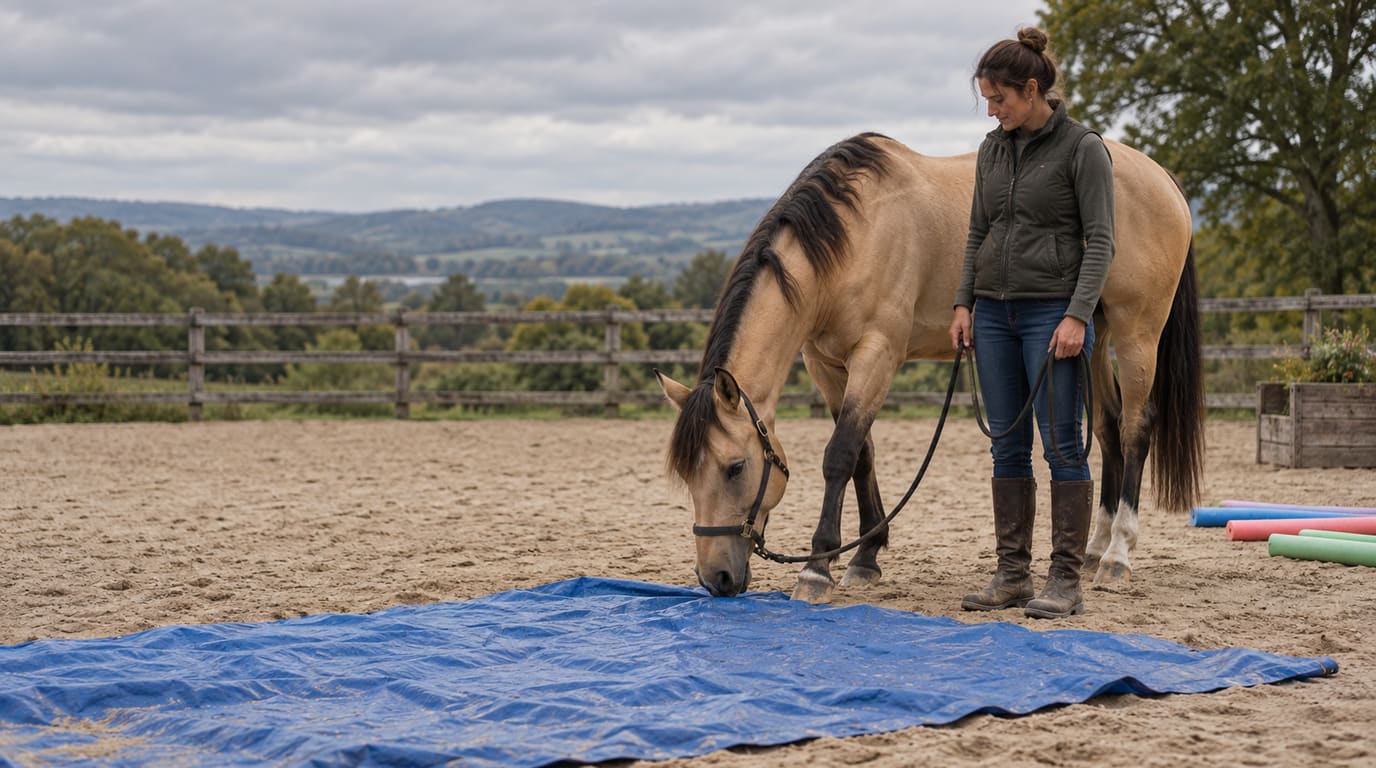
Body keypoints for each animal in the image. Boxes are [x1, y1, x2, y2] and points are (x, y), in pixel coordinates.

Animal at [655, 132, 1204, 603]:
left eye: (735, 467)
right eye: (687, 473)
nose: (716, 578)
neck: (852, 237)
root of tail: (1162, 177)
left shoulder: (878, 353)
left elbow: (839, 455)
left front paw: (817, 569)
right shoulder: (825, 363)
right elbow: (862, 453)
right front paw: (865, 559)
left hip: (1136, 334)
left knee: (1135, 429)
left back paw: (1117, 556)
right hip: (1087, 339)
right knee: (1108, 431)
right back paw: (1092, 550)